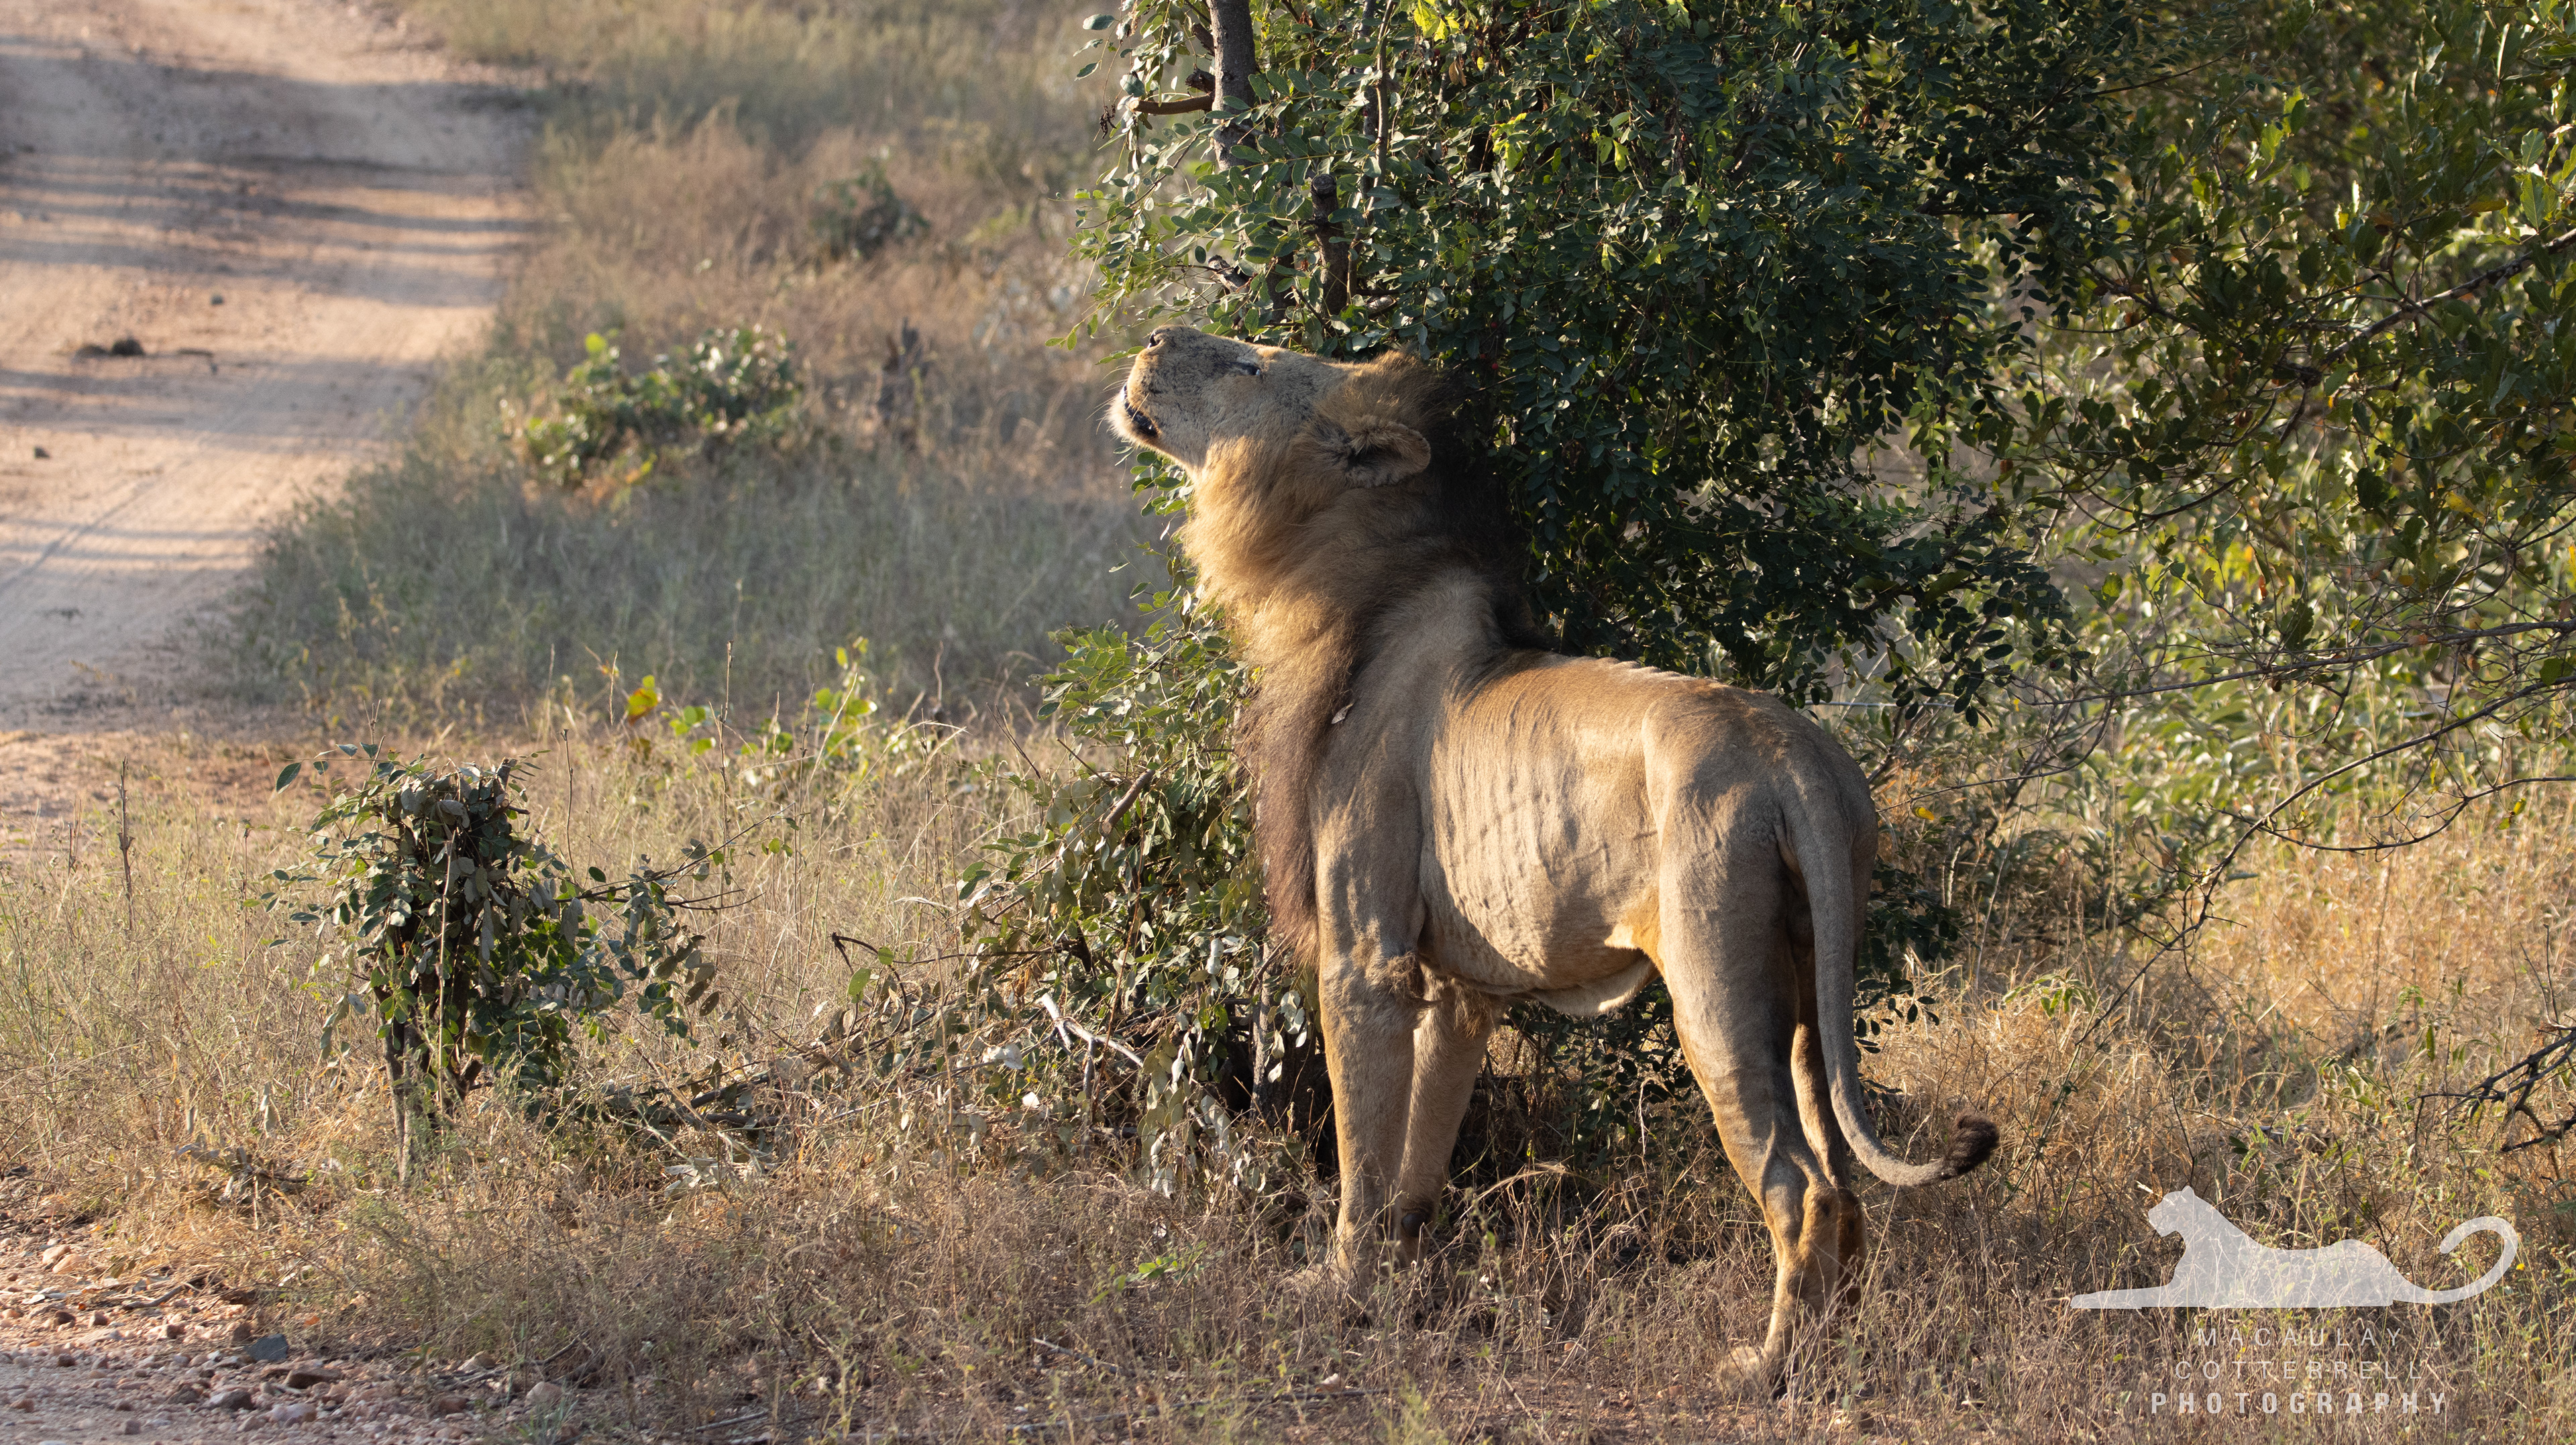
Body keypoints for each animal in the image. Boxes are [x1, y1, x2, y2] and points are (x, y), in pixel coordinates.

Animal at [1112, 327, 1998, 1392]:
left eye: (1255, 364)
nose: (1156, 336)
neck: (1352, 591)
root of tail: (1797, 755)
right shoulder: (1462, 984)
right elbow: (1419, 1153)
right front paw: (1403, 1279)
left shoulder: (1365, 955)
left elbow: (1362, 1147)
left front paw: (1339, 1288)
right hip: (1809, 975)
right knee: (1844, 1175)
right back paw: (1841, 1351)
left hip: (1715, 982)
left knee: (1803, 1183)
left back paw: (1766, 1368)